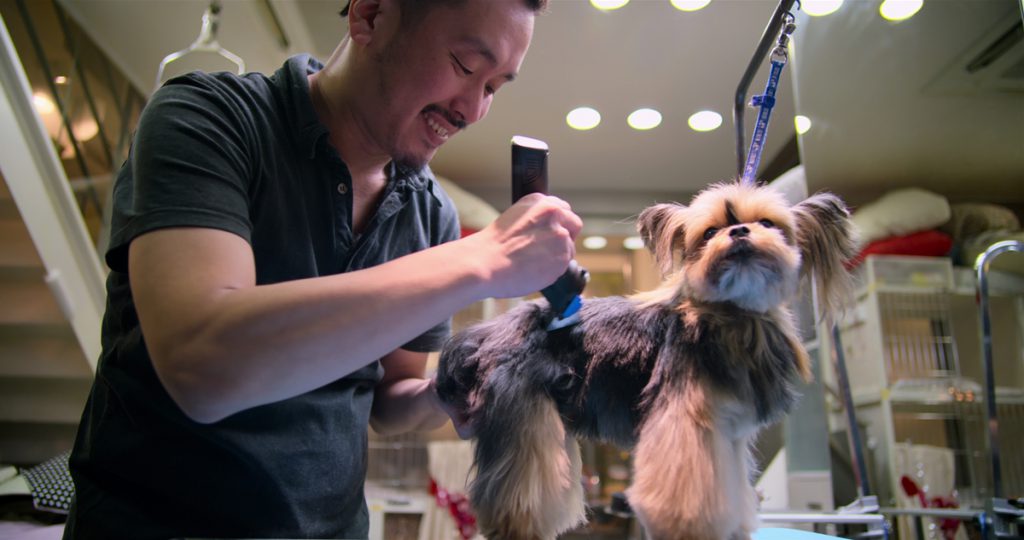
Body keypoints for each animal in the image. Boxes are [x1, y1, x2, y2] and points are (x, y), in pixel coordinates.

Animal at [434, 181, 857, 540]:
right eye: (709, 233)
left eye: (768, 223)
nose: (738, 232)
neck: (731, 312)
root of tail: (495, 329)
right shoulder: (687, 419)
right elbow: (684, 493)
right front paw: (690, 528)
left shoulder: (728, 433)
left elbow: (733, 487)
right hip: (525, 413)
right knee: (520, 490)